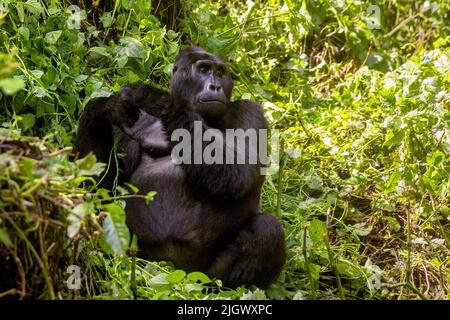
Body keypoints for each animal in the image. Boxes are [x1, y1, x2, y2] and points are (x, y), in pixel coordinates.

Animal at [74, 46, 284, 288]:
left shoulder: (251, 111)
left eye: (220, 72)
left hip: (199, 276)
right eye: (203, 70)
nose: (215, 86)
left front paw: (158, 100)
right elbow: (102, 187)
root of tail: (173, 272)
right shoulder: (132, 122)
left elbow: (239, 172)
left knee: (267, 228)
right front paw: (101, 109)